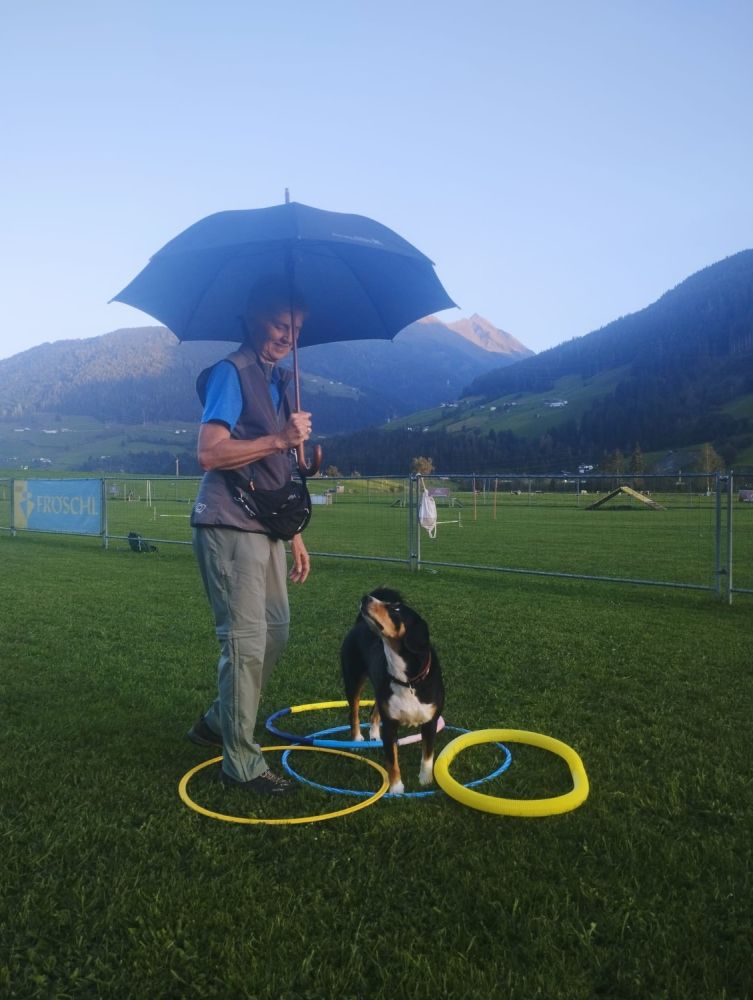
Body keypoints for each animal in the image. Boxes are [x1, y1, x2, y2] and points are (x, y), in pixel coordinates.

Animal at [340, 587, 445, 794]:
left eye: (395, 609)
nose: (366, 598)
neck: (408, 681)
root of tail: (359, 625)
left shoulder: (430, 723)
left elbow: (428, 756)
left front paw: (425, 781)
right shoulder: (390, 726)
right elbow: (392, 762)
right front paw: (396, 789)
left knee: (374, 712)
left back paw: (373, 734)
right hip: (353, 681)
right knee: (353, 713)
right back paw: (356, 740)